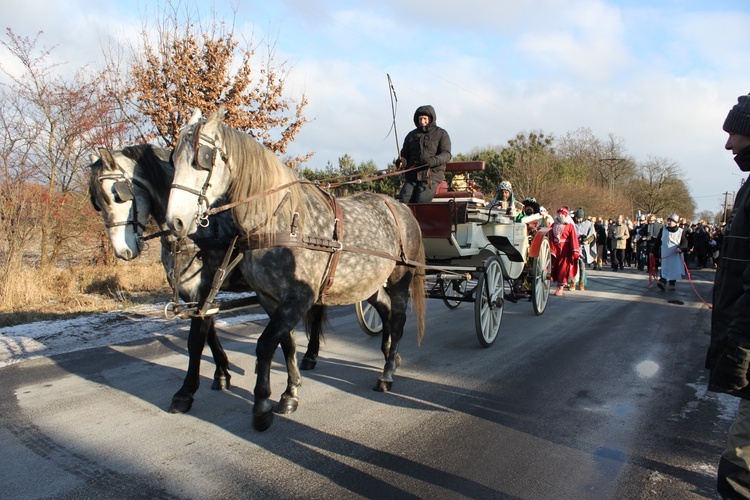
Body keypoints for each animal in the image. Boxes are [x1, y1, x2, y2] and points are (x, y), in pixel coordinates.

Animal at [88, 144, 332, 414]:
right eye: (96, 202)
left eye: (117, 195)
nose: (124, 251)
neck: (197, 233)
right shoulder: (197, 296)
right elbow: (210, 334)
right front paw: (222, 374)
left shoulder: (204, 289)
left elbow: (195, 341)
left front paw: (185, 392)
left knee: (317, 312)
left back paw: (310, 355)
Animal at [169, 108, 428, 430]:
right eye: (172, 159)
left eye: (202, 158)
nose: (175, 221)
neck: (279, 222)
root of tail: (402, 208)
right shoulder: (269, 299)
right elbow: (287, 343)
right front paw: (290, 393)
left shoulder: (299, 298)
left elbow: (265, 344)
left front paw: (262, 405)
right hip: (366, 282)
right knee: (386, 311)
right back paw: (389, 355)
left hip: (400, 278)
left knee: (399, 318)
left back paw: (388, 372)